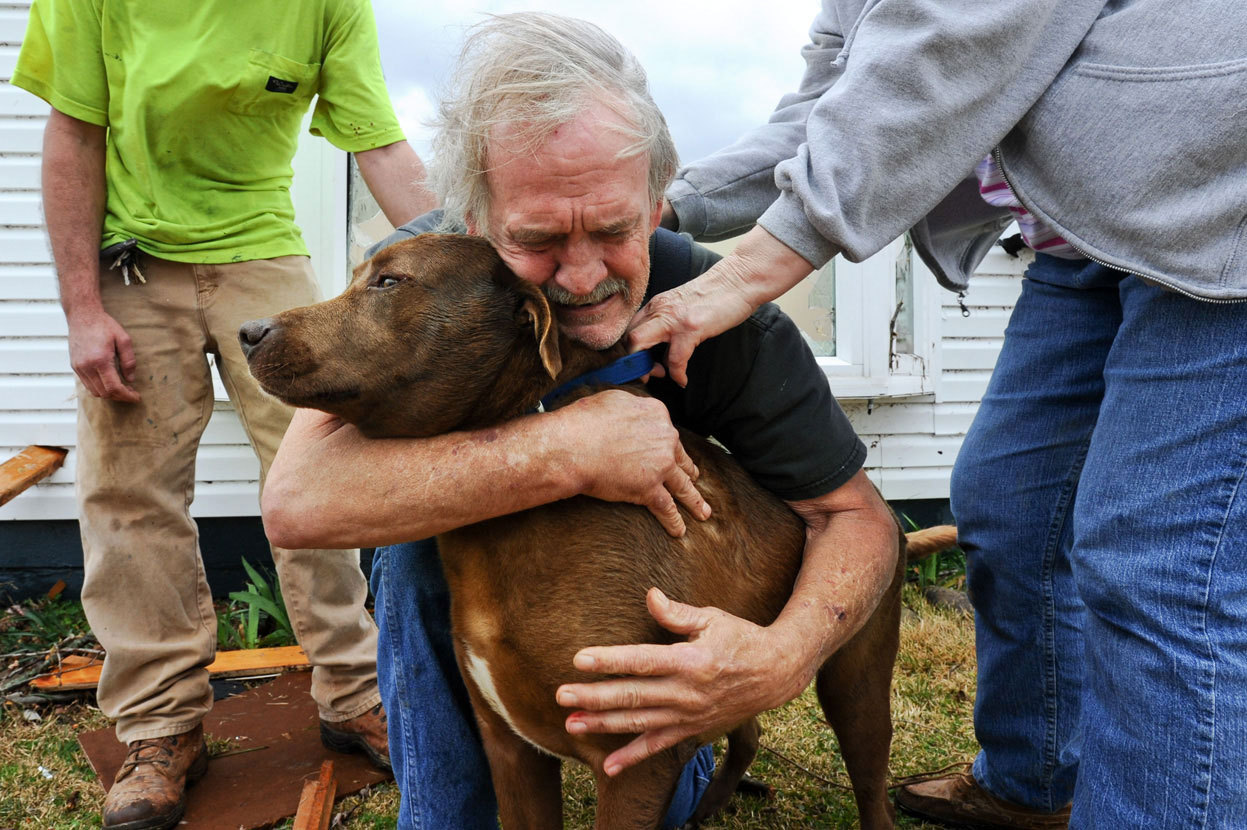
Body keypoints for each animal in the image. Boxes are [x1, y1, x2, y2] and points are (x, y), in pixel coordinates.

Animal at [243, 234, 957, 827]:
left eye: (390, 282)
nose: (249, 330)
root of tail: (893, 522)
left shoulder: (634, 759)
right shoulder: (513, 752)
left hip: (855, 680)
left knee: (870, 784)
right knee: (746, 727)